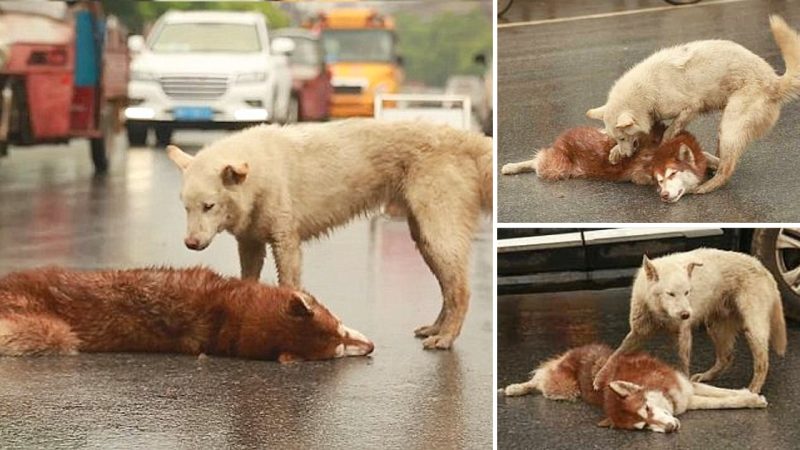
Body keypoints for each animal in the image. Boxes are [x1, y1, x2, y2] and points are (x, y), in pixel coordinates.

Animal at [169, 119, 494, 352]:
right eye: (185, 207)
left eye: (209, 206)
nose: (191, 244)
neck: (259, 174)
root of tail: (466, 138)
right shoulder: (250, 242)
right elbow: (247, 281)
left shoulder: (286, 242)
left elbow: (289, 285)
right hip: (424, 237)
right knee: (448, 288)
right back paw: (437, 329)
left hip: (438, 231)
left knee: (460, 290)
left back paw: (446, 338)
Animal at [588, 14, 800, 194]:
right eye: (617, 139)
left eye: (623, 137)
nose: (626, 156)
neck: (646, 90)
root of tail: (775, 82)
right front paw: (615, 152)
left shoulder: (690, 107)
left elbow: (671, 129)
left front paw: (663, 143)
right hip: (725, 128)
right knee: (722, 160)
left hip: (731, 127)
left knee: (727, 169)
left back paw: (706, 186)